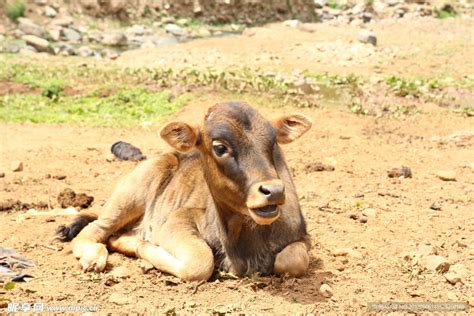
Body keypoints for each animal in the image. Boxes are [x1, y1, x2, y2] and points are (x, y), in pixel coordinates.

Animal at [56, 102, 312, 282]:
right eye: (220, 147)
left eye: (273, 142)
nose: (274, 191)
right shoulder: (179, 219)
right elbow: (199, 263)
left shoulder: (302, 237)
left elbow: (293, 260)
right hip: (128, 197)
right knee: (93, 231)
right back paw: (94, 255)